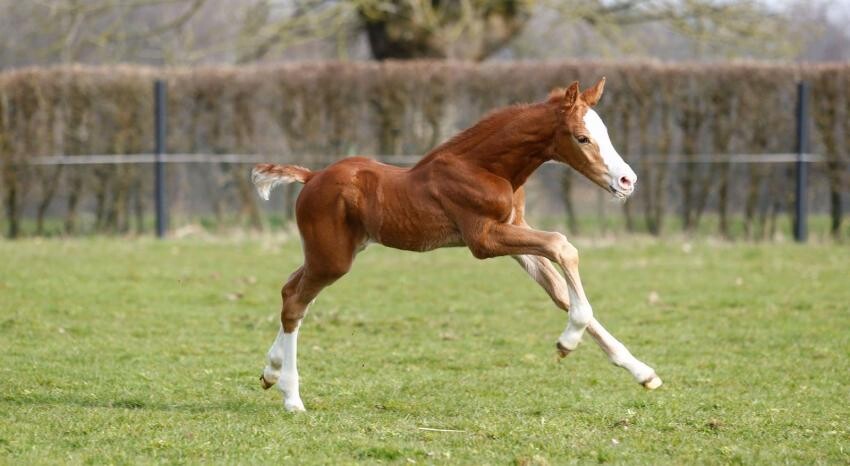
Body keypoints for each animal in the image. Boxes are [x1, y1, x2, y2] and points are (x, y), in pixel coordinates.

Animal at [252, 78, 661, 412]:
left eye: (604, 133)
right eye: (582, 137)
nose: (627, 181)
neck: (485, 167)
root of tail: (312, 176)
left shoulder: (515, 236)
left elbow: (559, 290)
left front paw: (643, 372)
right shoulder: (483, 239)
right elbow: (563, 246)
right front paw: (567, 341)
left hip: (332, 251)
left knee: (291, 291)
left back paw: (271, 371)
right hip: (333, 258)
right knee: (296, 302)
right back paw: (292, 397)